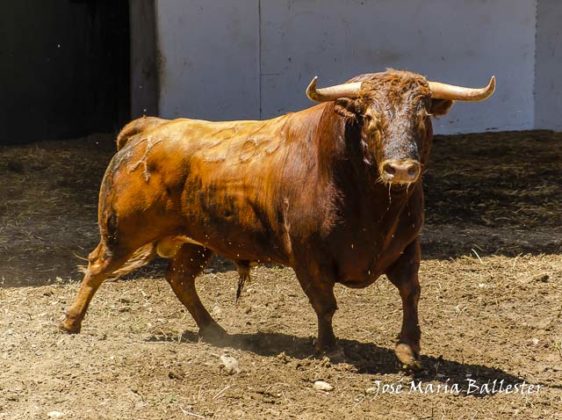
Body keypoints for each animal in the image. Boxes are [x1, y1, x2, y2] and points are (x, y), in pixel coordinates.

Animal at [59, 70, 492, 370]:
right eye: (368, 116)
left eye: (422, 114)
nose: (401, 168)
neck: (369, 204)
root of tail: (152, 127)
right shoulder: (308, 255)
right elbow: (325, 303)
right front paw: (330, 349)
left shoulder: (406, 247)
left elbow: (410, 293)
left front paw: (408, 349)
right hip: (123, 232)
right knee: (97, 266)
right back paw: (71, 322)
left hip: (198, 242)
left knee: (179, 278)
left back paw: (214, 330)